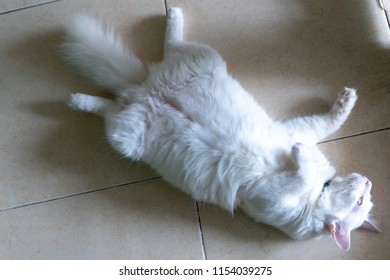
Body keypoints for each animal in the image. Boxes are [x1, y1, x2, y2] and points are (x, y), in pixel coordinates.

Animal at [62, 7, 380, 250]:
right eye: (362, 200)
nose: (368, 181)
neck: (320, 189)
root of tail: (144, 89)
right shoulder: (300, 130)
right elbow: (330, 121)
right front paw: (345, 102)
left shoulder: (268, 194)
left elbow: (300, 173)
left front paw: (299, 154)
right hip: (204, 58)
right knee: (171, 45)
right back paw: (172, 13)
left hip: (124, 137)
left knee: (108, 106)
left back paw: (76, 99)